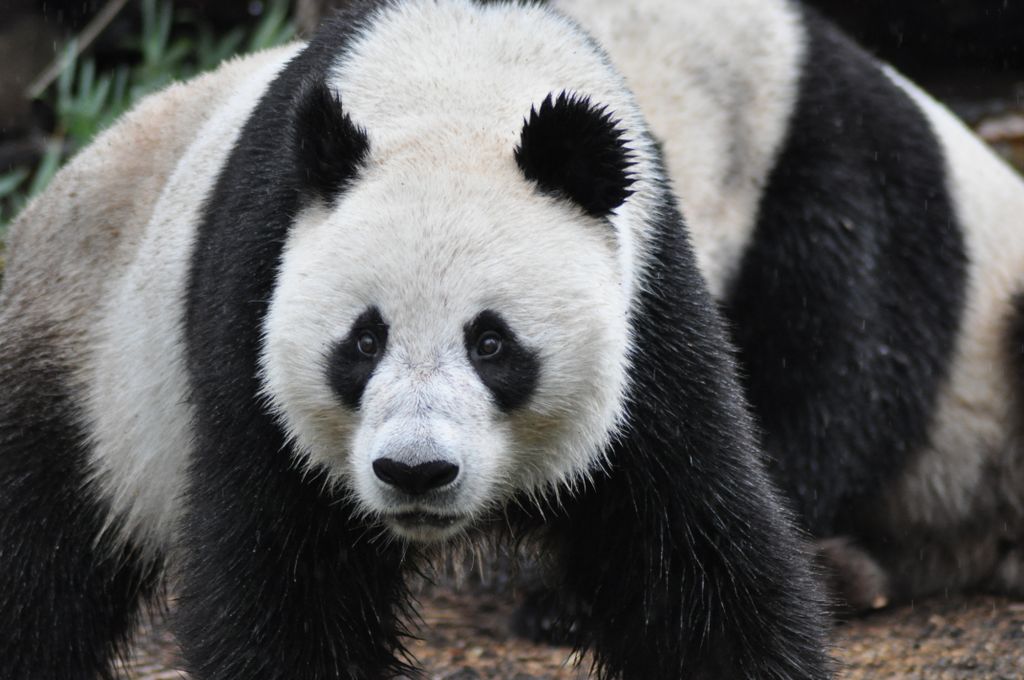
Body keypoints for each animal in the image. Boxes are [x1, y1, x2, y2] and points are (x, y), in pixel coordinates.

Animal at [0, 0, 831, 678]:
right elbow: (280, 581)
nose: (416, 472)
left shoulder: (654, 315)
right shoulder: (252, 300)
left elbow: (689, 561)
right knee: (39, 563)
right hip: (81, 363)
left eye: (492, 344)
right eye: (363, 342)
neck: (458, 90)